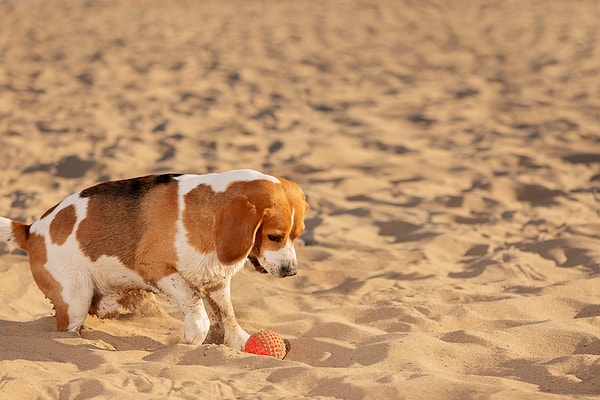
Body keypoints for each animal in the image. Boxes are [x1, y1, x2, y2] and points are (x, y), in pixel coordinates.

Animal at [0, 169, 308, 350]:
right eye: (275, 237)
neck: (205, 211)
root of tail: (31, 230)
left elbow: (228, 314)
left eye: (297, 235)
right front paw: (194, 336)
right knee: (67, 327)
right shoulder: (156, 268)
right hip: (76, 296)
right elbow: (194, 304)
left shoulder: (216, 281)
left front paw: (240, 342)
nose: (291, 272)